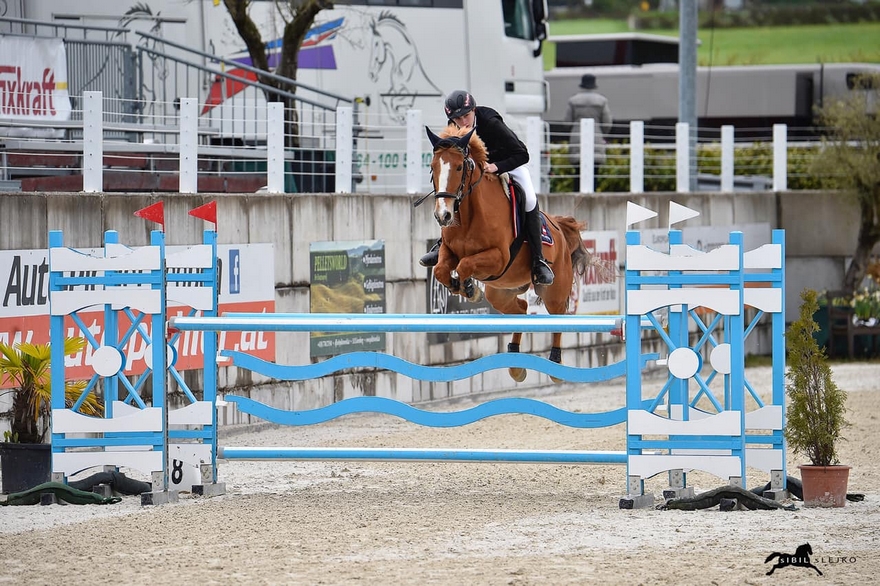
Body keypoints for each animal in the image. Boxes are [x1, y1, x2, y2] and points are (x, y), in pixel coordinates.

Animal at [426, 123, 592, 380]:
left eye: (459, 166)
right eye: (433, 167)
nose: (443, 216)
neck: (469, 215)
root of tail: (559, 227)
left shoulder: (499, 257)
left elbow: (465, 265)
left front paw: (469, 289)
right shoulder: (448, 252)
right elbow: (442, 270)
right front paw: (461, 288)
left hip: (553, 291)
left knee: (559, 316)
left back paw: (555, 362)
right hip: (501, 293)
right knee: (521, 310)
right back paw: (515, 364)